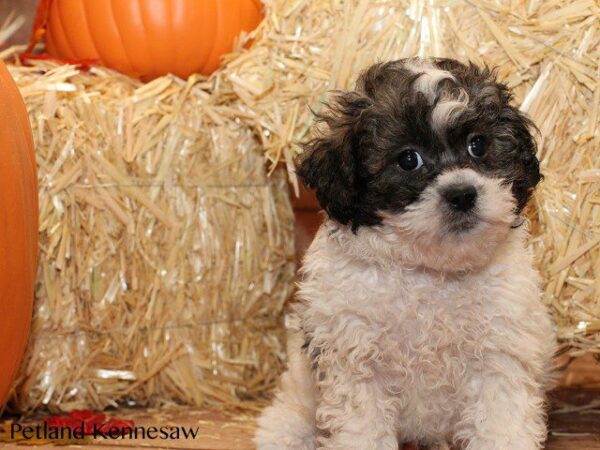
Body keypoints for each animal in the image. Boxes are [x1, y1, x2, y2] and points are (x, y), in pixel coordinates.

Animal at [255, 58, 556, 450]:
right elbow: (362, 429)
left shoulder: (499, 354)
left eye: (478, 145)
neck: (429, 271)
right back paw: (286, 430)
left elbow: (501, 423)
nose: (462, 194)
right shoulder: (355, 356)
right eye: (408, 159)